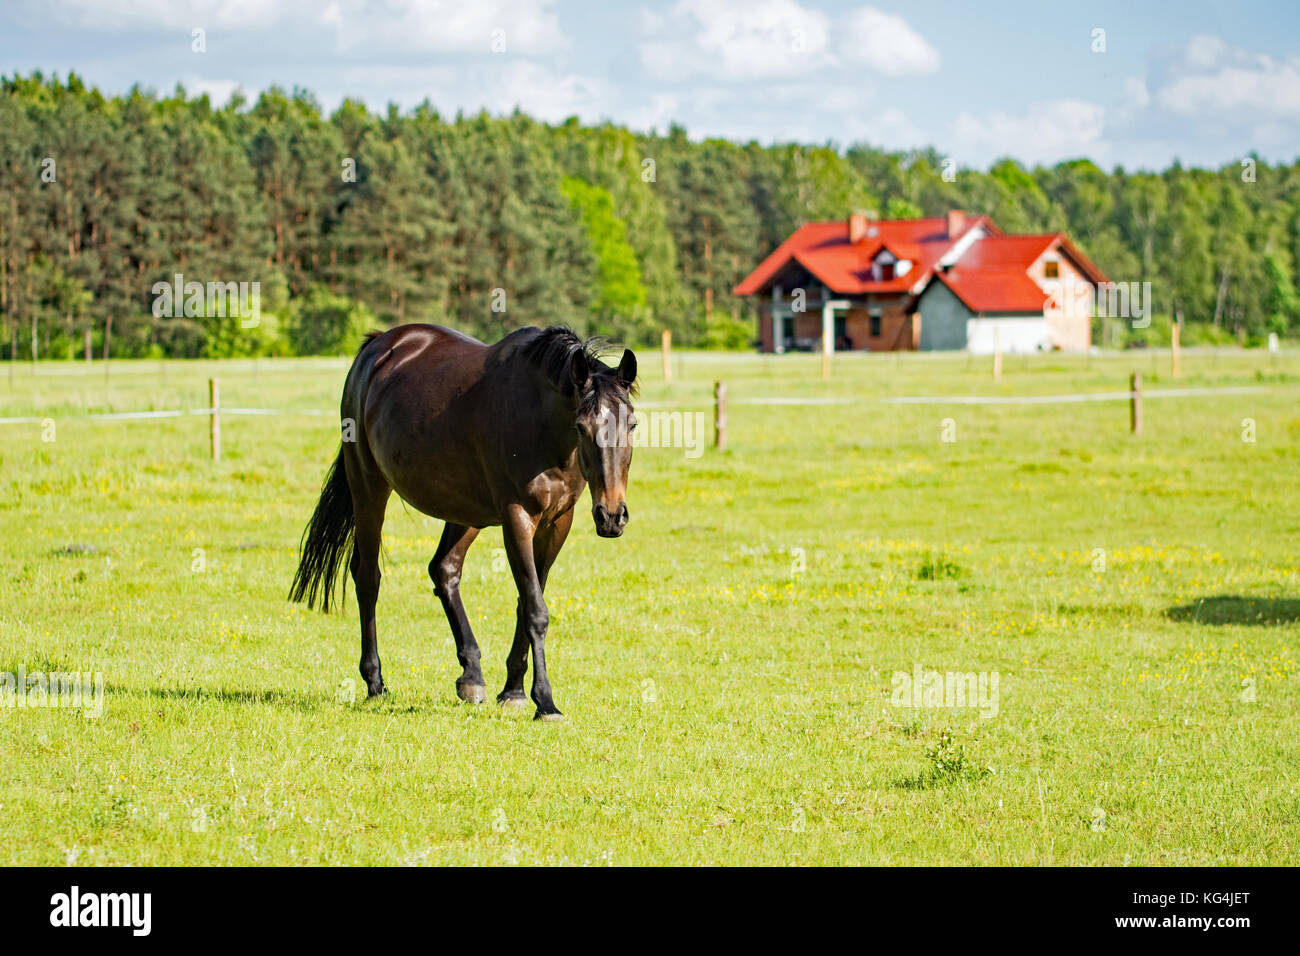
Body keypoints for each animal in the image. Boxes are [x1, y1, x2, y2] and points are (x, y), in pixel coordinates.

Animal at [293, 325, 639, 723]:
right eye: (582, 427)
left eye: (632, 423)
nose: (612, 515)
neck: (541, 423)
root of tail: (379, 344)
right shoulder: (516, 517)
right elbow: (535, 609)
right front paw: (545, 702)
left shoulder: (557, 523)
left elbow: (527, 601)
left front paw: (513, 690)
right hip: (368, 484)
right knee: (368, 577)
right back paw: (375, 682)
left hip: (464, 511)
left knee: (444, 569)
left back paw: (471, 675)